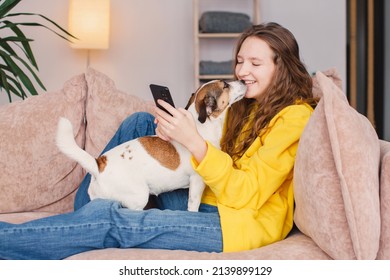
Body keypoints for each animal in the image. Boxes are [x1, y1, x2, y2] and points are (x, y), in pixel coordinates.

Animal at [56, 80, 245, 211]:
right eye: (225, 85)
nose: (243, 81)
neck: (201, 127)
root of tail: (99, 164)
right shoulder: (197, 182)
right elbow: (193, 205)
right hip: (139, 196)